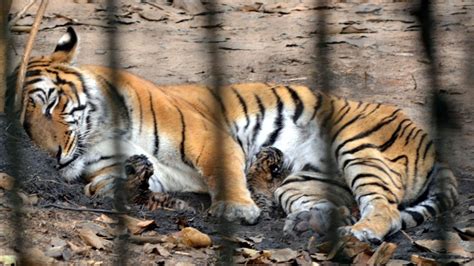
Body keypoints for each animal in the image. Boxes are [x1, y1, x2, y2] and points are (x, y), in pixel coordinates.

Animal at [10, 28, 456, 242]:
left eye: (50, 105)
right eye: (22, 125)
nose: (51, 156)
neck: (97, 133)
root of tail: (431, 144)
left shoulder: (207, 134)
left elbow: (221, 170)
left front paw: (235, 209)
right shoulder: (107, 174)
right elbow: (107, 186)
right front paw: (148, 191)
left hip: (358, 145)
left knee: (388, 209)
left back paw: (360, 232)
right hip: (302, 181)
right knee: (338, 202)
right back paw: (311, 223)